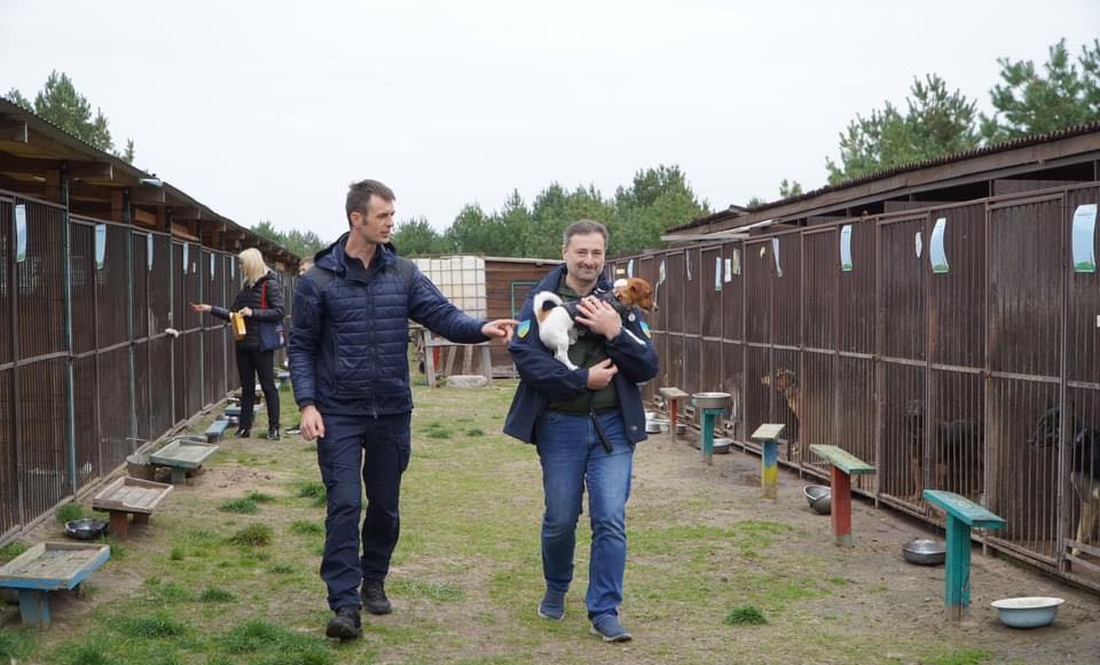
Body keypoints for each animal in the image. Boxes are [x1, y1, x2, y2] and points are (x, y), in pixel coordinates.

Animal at [1029, 404, 1100, 553]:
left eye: (1046, 424)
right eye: (1039, 423)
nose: (1030, 441)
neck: (1078, 442)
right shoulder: (1089, 499)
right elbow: (1080, 534)